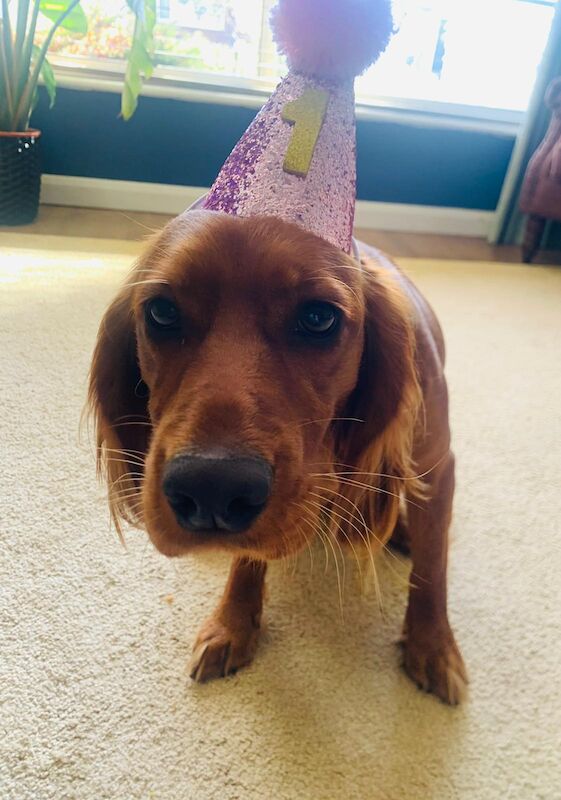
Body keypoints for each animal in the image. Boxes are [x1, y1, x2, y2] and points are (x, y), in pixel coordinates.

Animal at [89, 209, 468, 704]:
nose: (210, 489)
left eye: (318, 318)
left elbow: (432, 567)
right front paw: (233, 623)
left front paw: (433, 646)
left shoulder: (438, 468)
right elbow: (247, 558)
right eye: (162, 312)